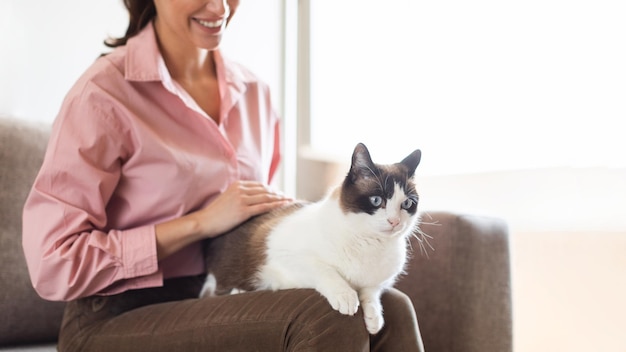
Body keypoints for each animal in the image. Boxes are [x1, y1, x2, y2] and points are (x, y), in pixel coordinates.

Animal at [200, 142, 422, 332]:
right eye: (377, 200)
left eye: (407, 204)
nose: (394, 221)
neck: (369, 244)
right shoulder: (286, 256)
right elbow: (324, 270)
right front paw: (346, 296)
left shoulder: (378, 282)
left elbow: (371, 294)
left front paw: (374, 318)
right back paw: (237, 291)